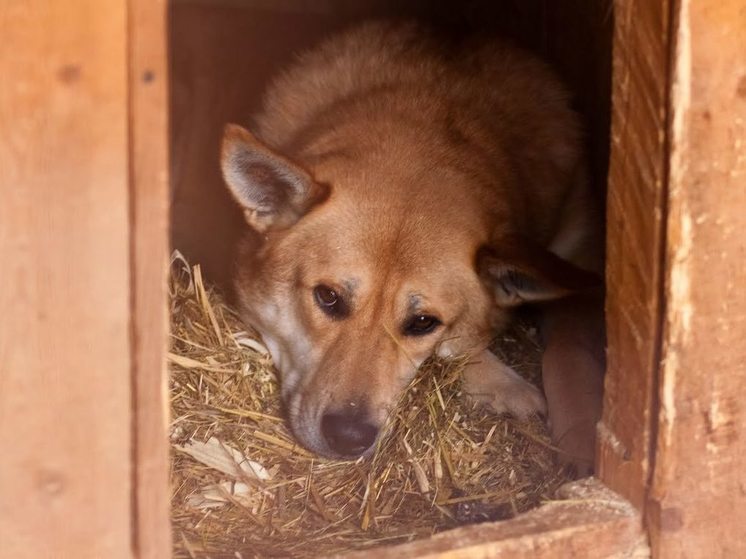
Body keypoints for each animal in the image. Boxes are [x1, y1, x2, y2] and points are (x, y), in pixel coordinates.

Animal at [218, 21, 600, 474]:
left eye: (422, 323)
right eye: (328, 297)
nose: (348, 437)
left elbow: (570, 348)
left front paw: (583, 439)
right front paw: (502, 383)